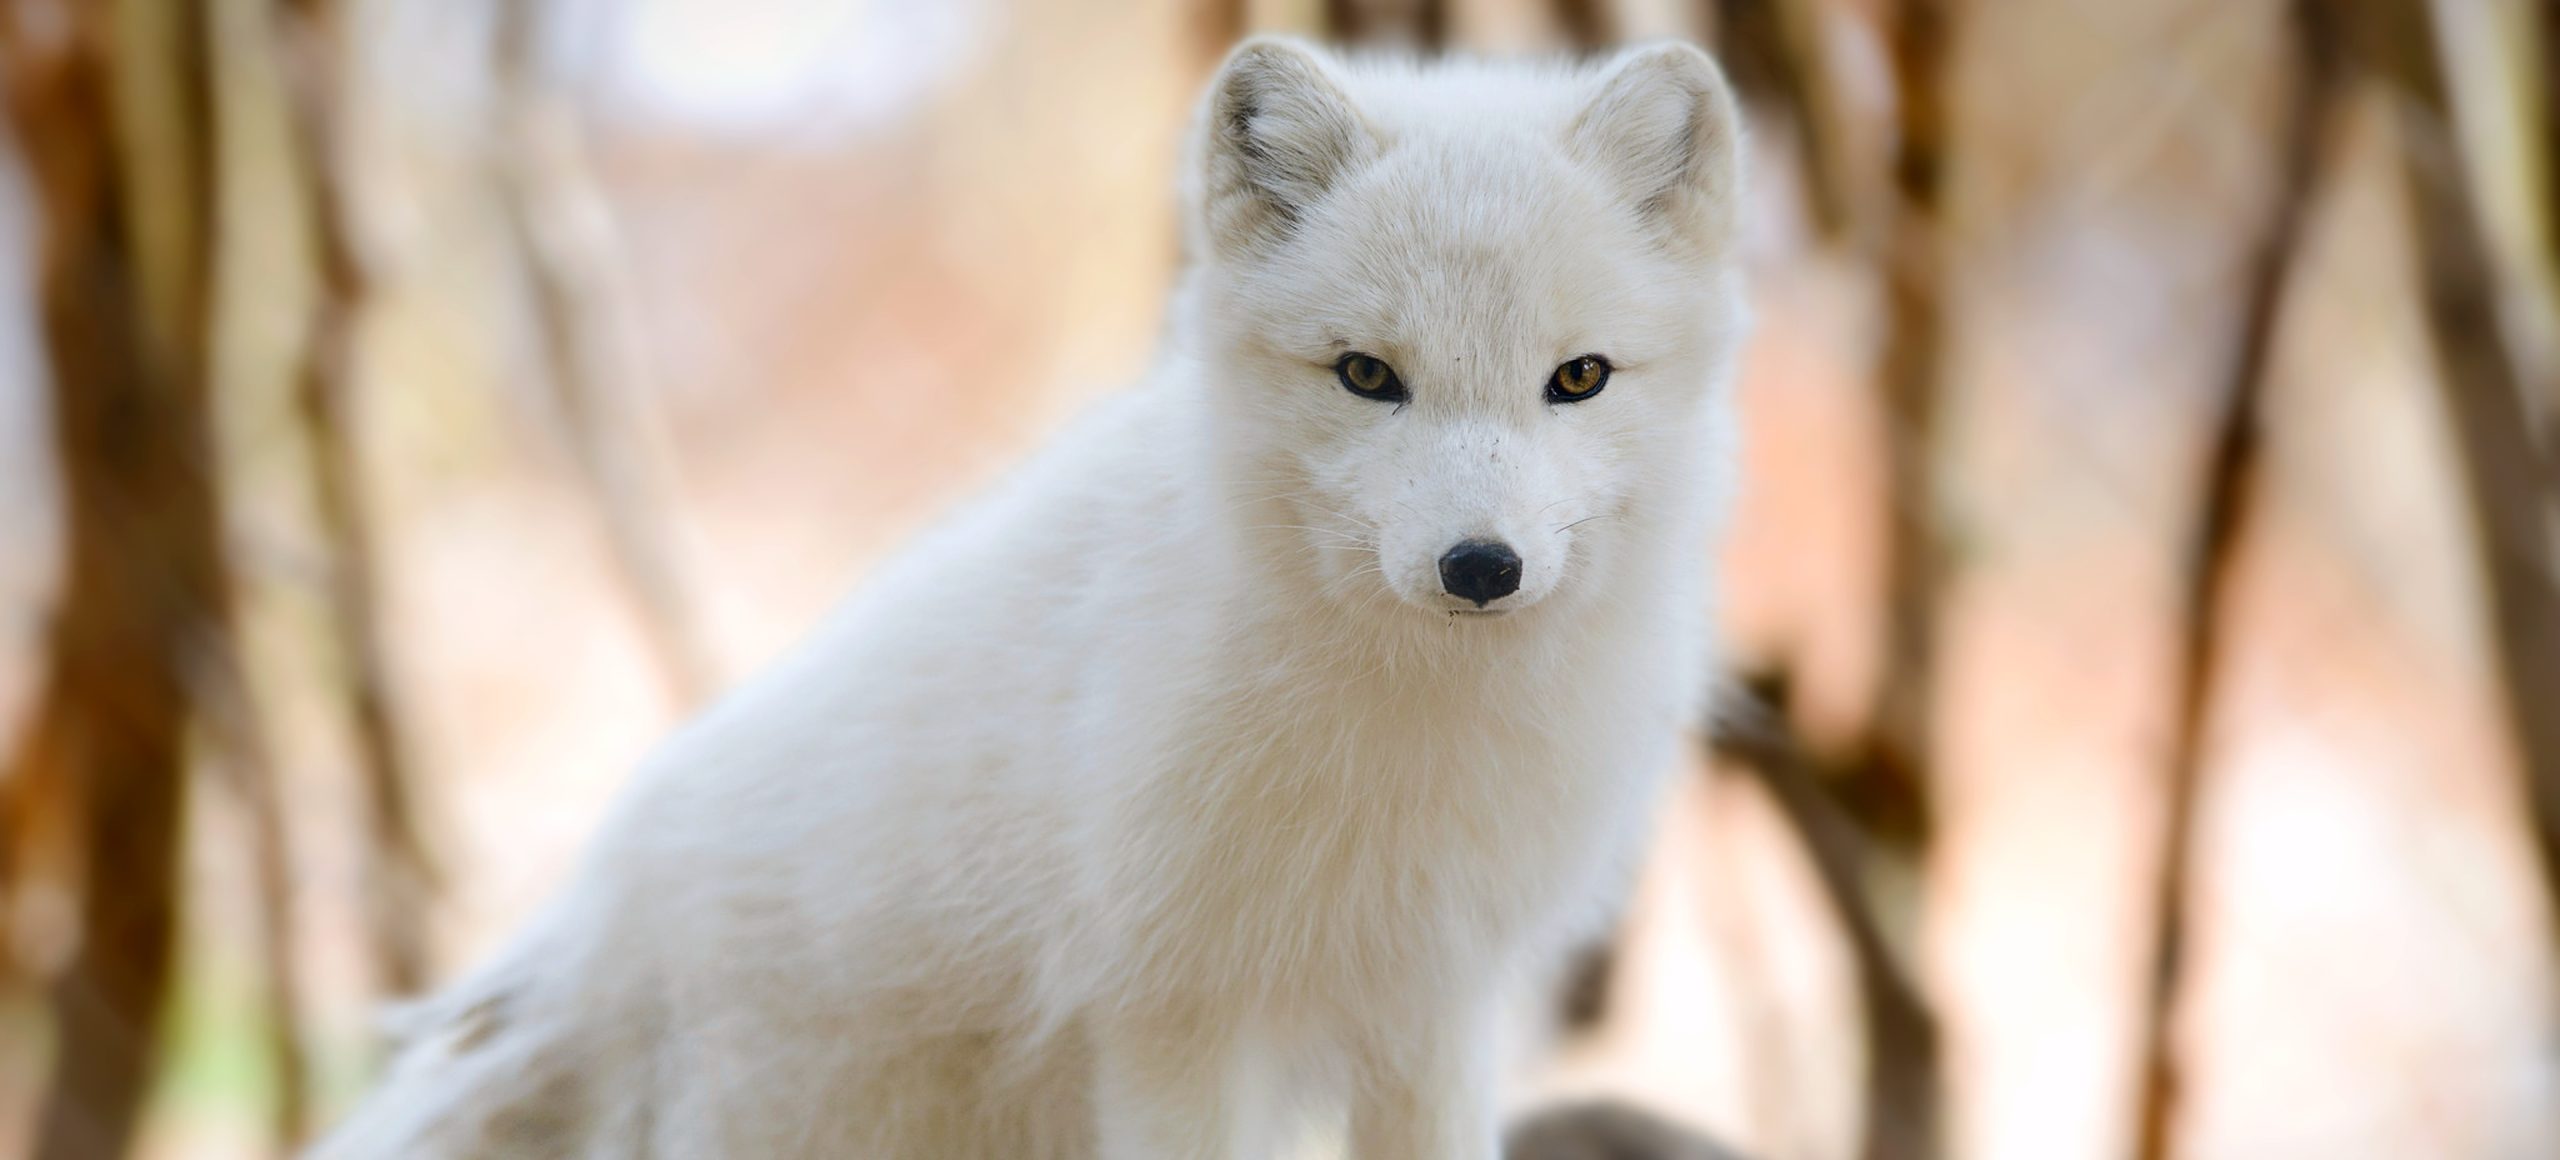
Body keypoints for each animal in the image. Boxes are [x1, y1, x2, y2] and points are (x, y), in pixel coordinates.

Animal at [299, 36, 1740, 1157]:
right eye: (1367, 375)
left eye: (1579, 377)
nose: (1480, 567)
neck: (1416, 729)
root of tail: (602, 927)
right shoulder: (1174, 1007)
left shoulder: (1432, 994)